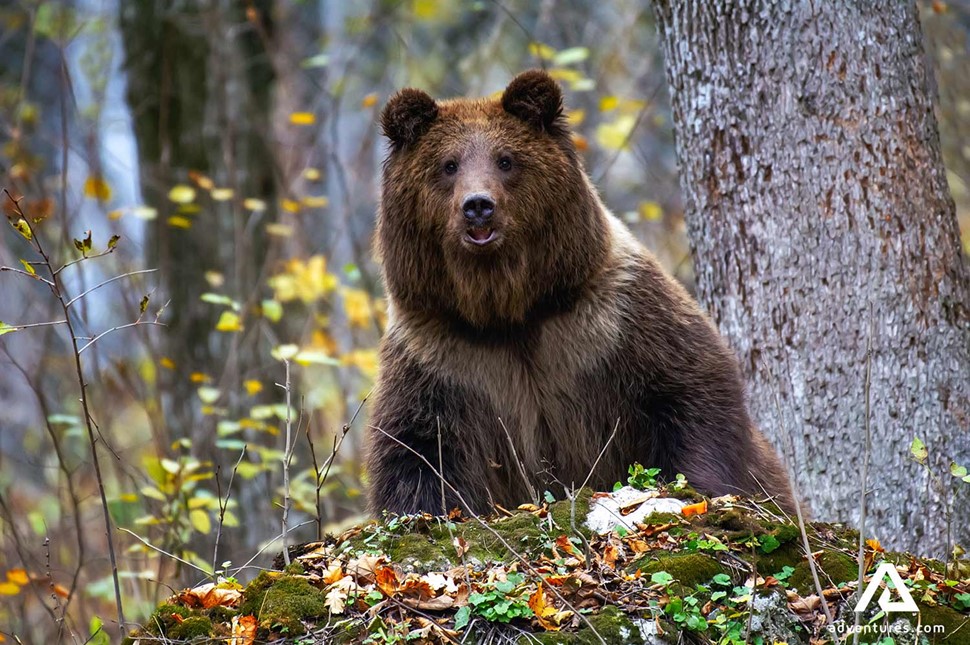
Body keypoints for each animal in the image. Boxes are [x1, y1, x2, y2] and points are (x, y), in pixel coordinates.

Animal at [366, 68, 792, 516]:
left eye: (506, 159)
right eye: (448, 164)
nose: (478, 205)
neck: (509, 310)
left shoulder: (609, 321)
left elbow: (689, 394)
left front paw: (695, 485)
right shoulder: (443, 356)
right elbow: (417, 447)